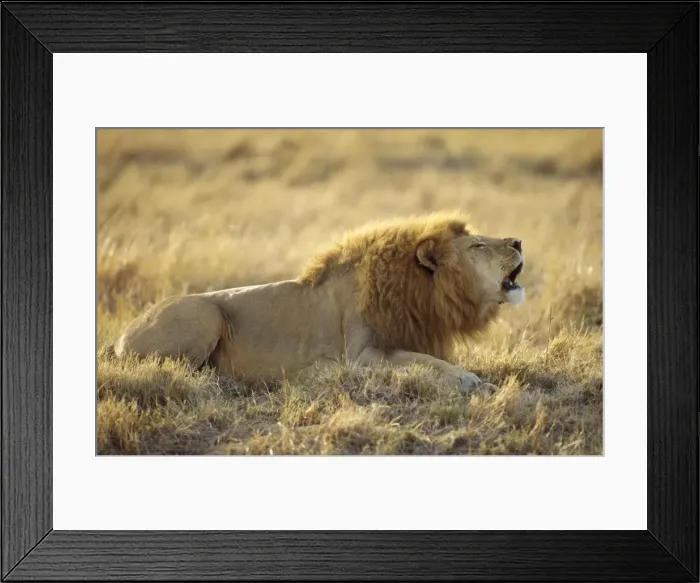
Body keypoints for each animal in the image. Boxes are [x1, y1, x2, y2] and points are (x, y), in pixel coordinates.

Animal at [113, 212, 525, 392]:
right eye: (477, 245)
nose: (519, 241)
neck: (422, 295)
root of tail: (119, 337)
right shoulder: (361, 356)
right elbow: (423, 362)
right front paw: (470, 380)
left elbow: (426, 359)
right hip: (203, 314)